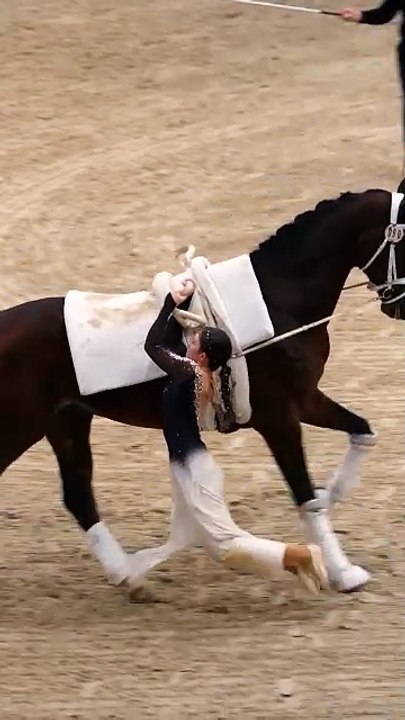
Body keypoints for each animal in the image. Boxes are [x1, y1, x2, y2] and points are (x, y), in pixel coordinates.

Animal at [1, 187, 404, 595]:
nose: (398, 308)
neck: (277, 302)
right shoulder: (279, 418)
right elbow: (303, 493)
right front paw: (344, 572)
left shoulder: (305, 400)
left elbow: (362, 431)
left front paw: (331, 493)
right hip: (21, 428)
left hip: (66, 423)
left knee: (78, 495)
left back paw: (128, 576)